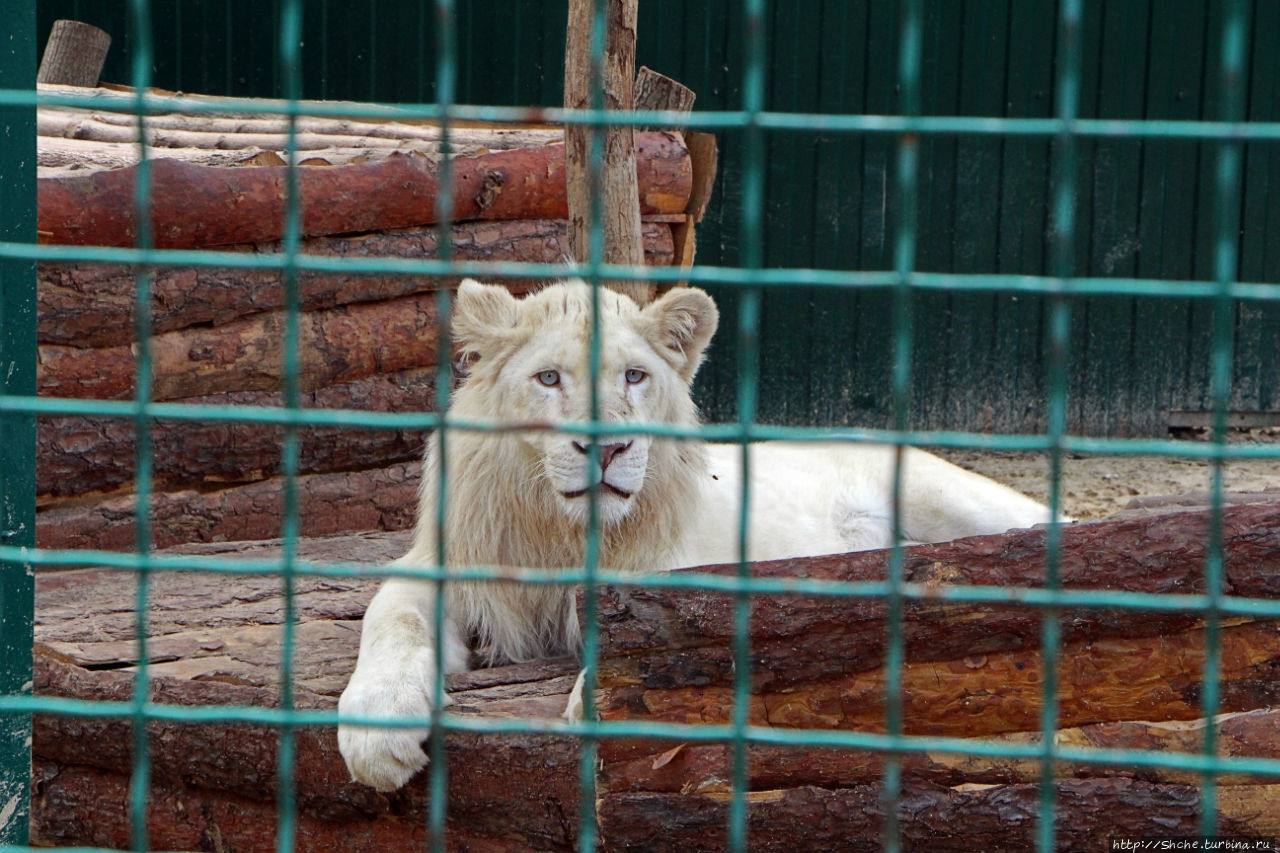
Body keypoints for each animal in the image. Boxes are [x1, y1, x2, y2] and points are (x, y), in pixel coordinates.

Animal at [335, 280, 1054, 788]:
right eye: (549, 378)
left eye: (634, 376)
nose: (608, 448)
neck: (565, 531)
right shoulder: (445, 564)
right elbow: (390, 618)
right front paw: (377, 733)